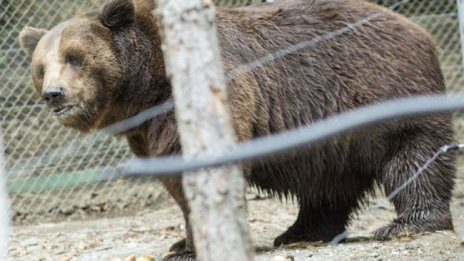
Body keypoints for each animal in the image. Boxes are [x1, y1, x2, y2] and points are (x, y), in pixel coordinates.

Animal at [19, 0, 456, 258]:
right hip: (331, 130)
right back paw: (301, 231)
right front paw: (183, 240)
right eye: (41, 67)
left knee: (413, 155)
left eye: (74, 57)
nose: (55, 94)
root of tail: (419, 31)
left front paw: (189, 244)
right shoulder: (144, 131)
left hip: (384, 90)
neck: (146, 88)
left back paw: (408, 223)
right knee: (327, 181)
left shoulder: (202, 99)